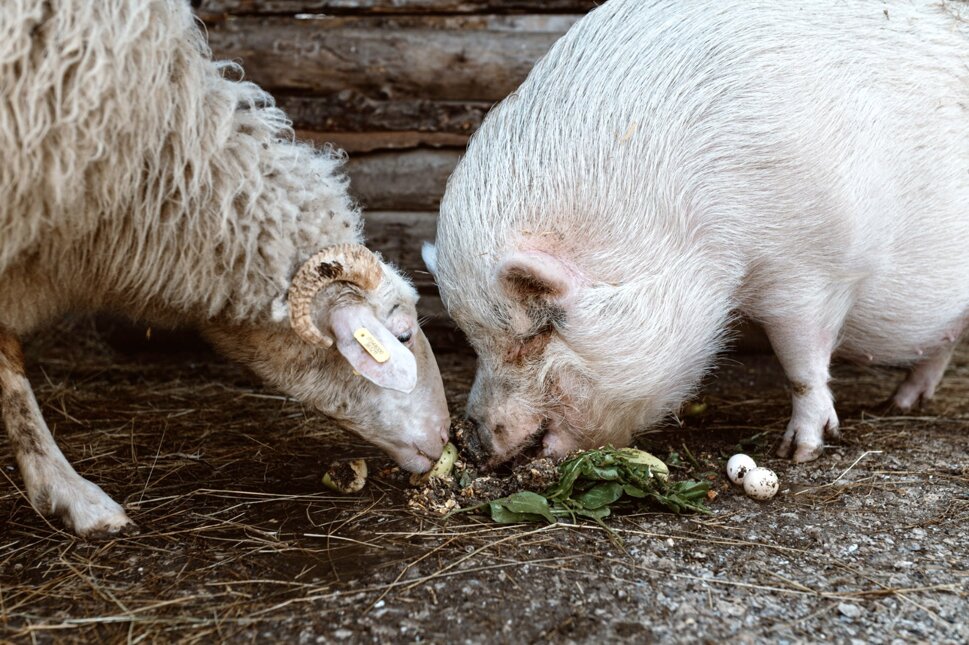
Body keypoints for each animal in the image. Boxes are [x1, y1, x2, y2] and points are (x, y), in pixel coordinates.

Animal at [424, 0, 969, 465]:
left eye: (536, 331)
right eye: (474, 338)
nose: (473, 440)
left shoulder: (813, 267)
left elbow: (803, 366)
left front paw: (798, 453)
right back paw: (904, 403)